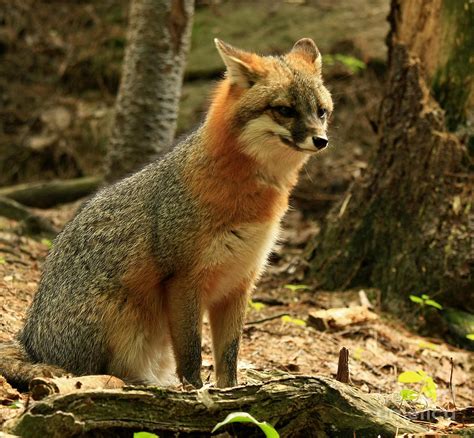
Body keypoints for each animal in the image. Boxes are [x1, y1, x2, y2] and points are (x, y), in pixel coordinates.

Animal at [0, 36, 334, 386]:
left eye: (321, 112)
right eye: (284, 110)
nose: (321, 140)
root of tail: (30, 340)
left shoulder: (239, 283)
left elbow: (228, 359)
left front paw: (230, 392)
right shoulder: (184, 280)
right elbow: (191, 354)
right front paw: (196, 390)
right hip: (121, 315)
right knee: (102, 372)